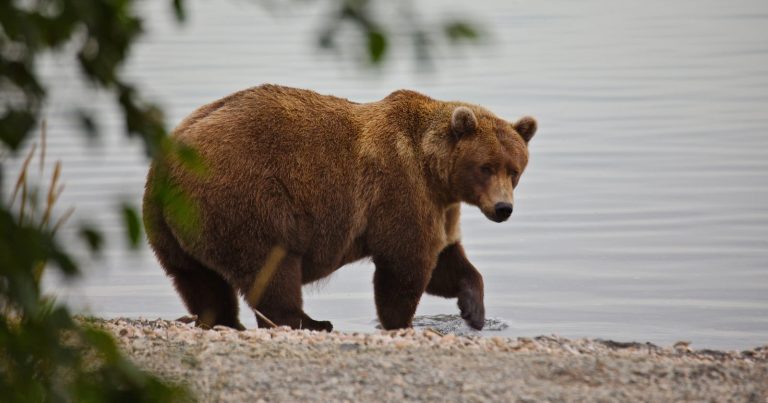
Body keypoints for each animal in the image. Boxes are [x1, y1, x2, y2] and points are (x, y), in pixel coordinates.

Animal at [143, 84, 537, 332]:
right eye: (486, 167)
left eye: (514, 170)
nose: (503, 208)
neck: (434, 171)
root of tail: (168, 162)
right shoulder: (401, 189)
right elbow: (406, 263)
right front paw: (400, 321)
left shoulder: (441, 207)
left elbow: (447, 261)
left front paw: (474, 311)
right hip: (247, 199)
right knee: (271, 266)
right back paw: (310, 321)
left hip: (172, 226)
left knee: (198, 279)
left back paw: (224, 320)